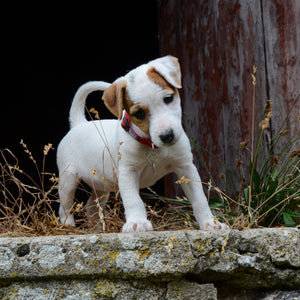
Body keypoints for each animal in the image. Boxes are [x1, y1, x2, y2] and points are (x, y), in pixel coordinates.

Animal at [57, 55, 229, 232]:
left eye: (168, 99)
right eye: (139, 113)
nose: (167, 136)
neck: (153, 146)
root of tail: (78, 124)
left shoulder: (186, 168)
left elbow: (199, 199)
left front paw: (210, 224)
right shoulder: (128, 172)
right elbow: (133, 200)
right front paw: (137, 223)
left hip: (101, 186)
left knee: (91, 207)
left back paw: (98, 229)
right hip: (68, 179)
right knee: (65, 206)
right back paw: (67, 226)